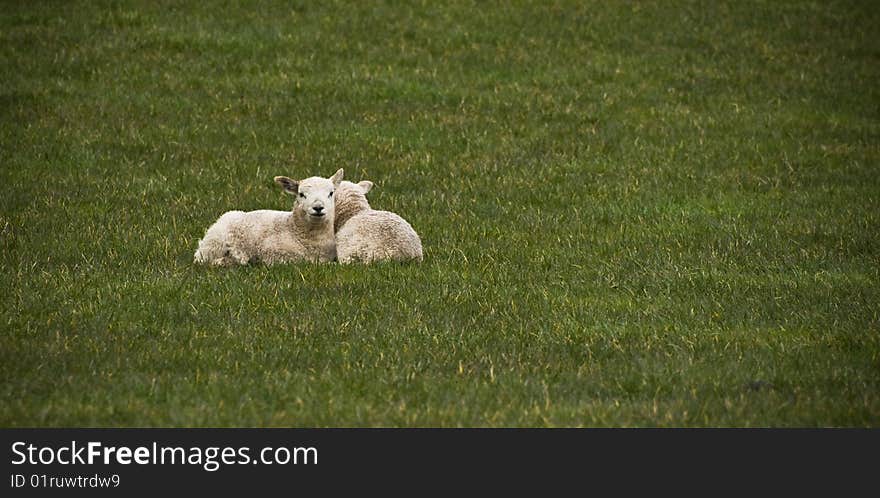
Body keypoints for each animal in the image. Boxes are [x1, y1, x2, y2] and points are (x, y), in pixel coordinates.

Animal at [195, 169, 344, 266]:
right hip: (214, 243)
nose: (318, 207)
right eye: (301, 194)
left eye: (331, 193)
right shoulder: (273, 253)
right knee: (201, 259)